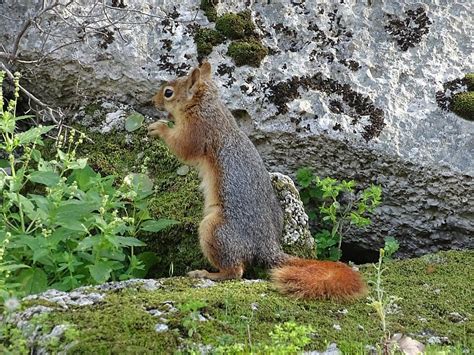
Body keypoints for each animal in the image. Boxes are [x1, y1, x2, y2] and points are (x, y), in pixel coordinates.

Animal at [148, 62, 366, 300]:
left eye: (168, 93)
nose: (152, 101)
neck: (207, 105)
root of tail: (267, 245)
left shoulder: (198, 131)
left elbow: (182, 147)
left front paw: (159, 128)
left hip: (214, 230)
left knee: (236, 271)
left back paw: (206, 274)